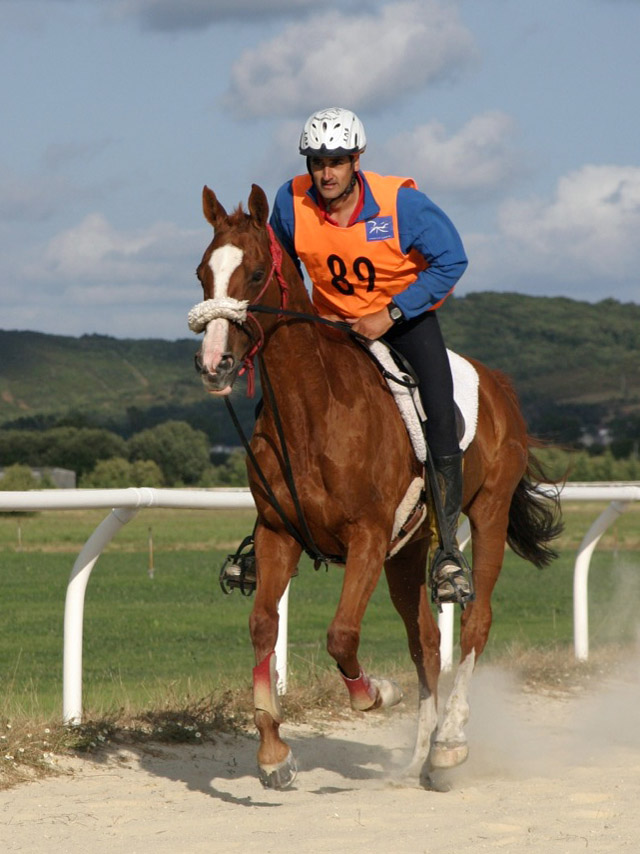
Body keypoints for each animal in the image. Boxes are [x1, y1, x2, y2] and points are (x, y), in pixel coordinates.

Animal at [189, 184, 560, 792]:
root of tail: (501, 387)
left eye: (257, 273)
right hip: (407, 550)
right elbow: (264, 624)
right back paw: (418, 759)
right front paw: (273, 752)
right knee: (426, 643)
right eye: (203, 273)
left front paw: (376, 694)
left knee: (475, 621)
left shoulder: (366, 534)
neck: (314, 411)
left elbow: (341, 635)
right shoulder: (277, 533)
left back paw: (450, 744)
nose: (214, 364)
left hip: (487, 513)